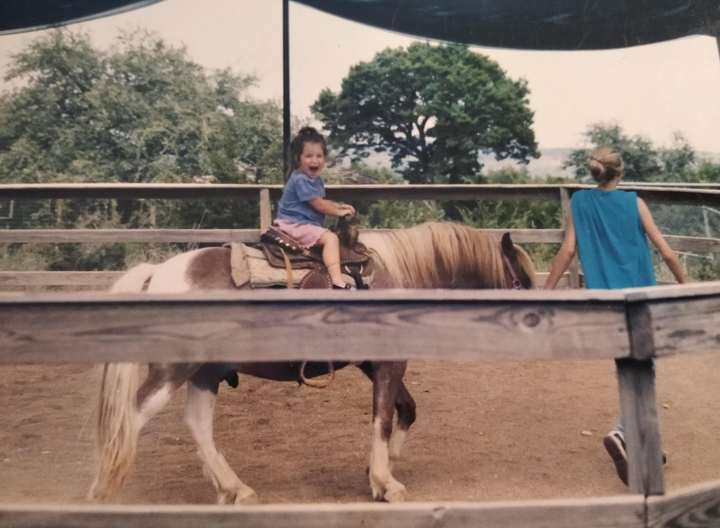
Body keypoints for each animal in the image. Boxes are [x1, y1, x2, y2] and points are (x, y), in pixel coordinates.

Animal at [90, 222, 536, 504]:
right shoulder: (389, 363)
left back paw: (235, 489)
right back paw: (100, 490)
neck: (399, 275)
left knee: (198, 425)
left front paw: (380, 468)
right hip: (172, 371)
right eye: (524, 282)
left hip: (206, 373)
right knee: (129, 418)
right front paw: (384, 483)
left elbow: (406, 410)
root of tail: (158, 274)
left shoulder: (373, 362)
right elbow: (383, 417)